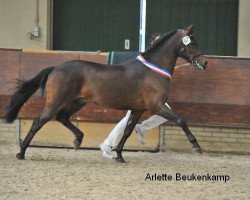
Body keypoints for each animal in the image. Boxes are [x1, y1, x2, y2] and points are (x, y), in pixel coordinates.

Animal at [4, 25, 207, 162]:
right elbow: (181, 120)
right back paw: (21, 152)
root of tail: (56, 68)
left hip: (77, 102)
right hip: (55, 102)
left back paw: (78, 139)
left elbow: (127, 131)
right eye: (192, 42)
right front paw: (196, 146)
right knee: (38, 122)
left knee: (62, 117)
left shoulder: (138, 109)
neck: (152, 70)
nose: (204, 63)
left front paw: (119, 155)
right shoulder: (156, 106)